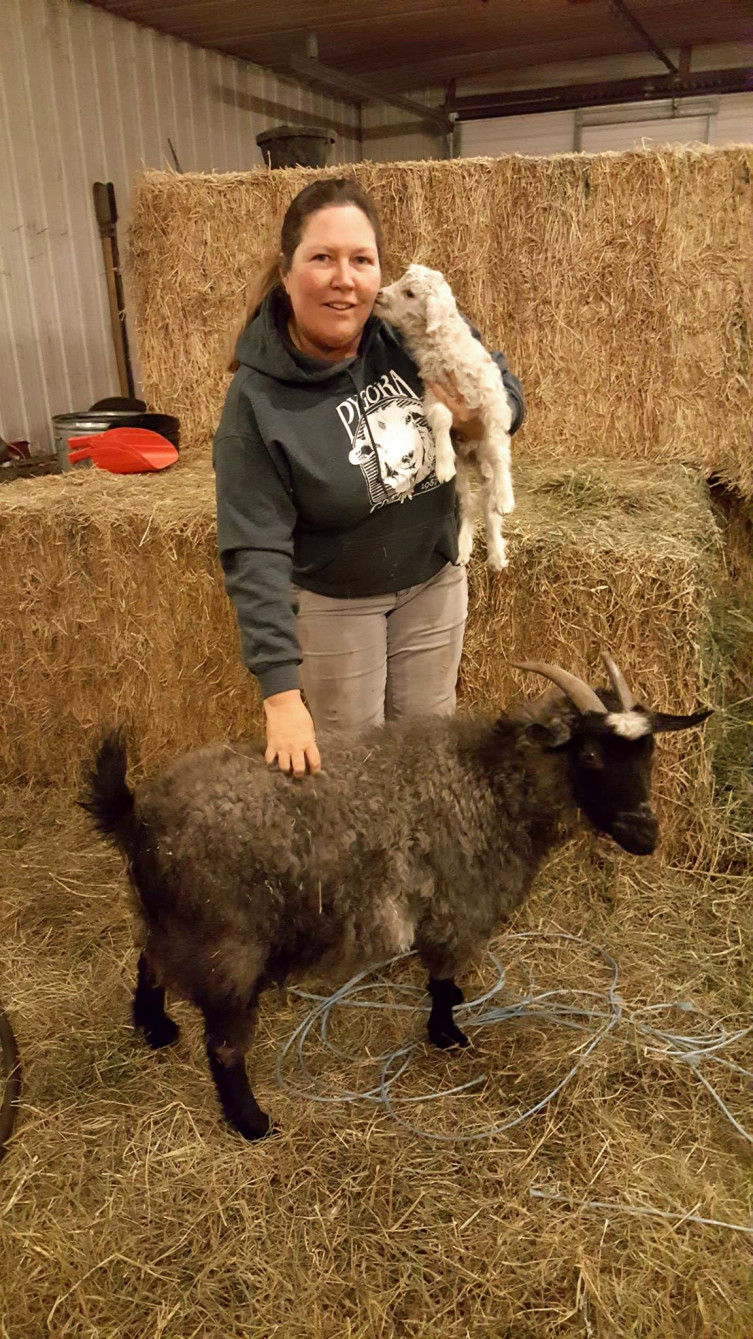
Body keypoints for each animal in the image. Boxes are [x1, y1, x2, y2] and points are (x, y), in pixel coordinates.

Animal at [82, 655, 710, 1141]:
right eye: (591, 755)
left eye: (648, 756)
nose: (646, 836)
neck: (490, 784)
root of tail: (137, 815)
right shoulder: (459, 906)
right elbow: (443, 979)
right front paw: (446, 1035)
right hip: (225, 941)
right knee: (223, 1044)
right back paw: (252, 1123)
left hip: (170, 918)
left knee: (149, 961)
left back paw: (156, 1029)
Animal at [375, 263, 514, 570]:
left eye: (410, 293)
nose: (378, 295)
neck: (442, 346)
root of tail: (473, 457)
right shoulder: (433, 393)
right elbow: (441, 420)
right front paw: (443, 463)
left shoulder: (493, 402)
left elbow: (498, 450)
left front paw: (506, 497)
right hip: (463, 473)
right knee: (469, 505)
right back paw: (463, 548)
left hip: (484, 463)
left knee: (489, 508)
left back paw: (496, 553)